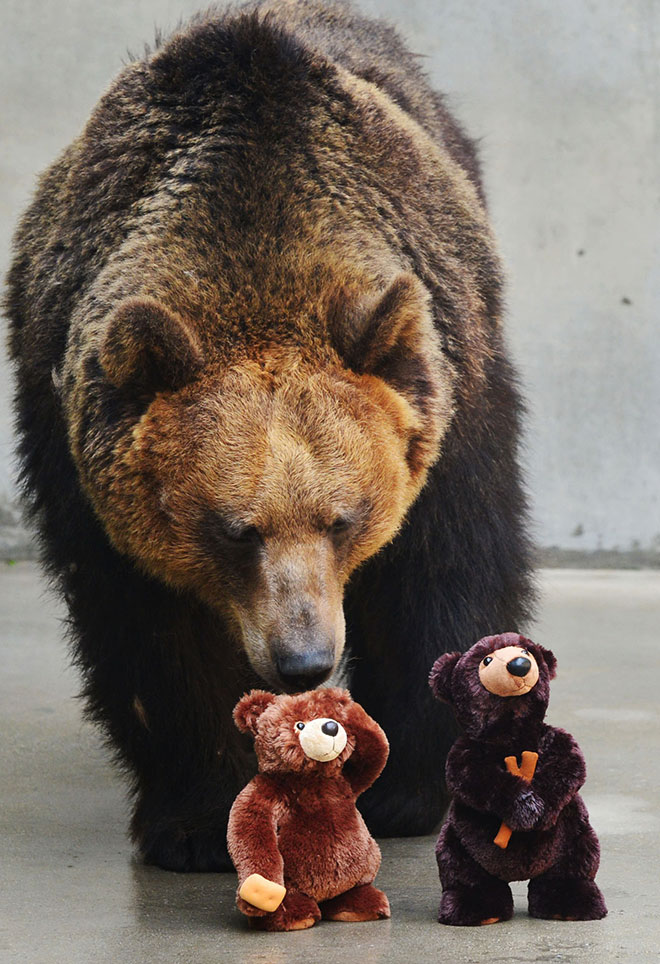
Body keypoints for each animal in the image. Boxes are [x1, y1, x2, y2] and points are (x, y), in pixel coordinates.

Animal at [3, 0, 532, 868]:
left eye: (344, 518)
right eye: (233, 530)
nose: (303, 659)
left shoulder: (451, 404)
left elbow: (438, 576)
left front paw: (408, 789)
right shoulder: (80, 457)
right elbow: (155, 633)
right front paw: (197, 817)